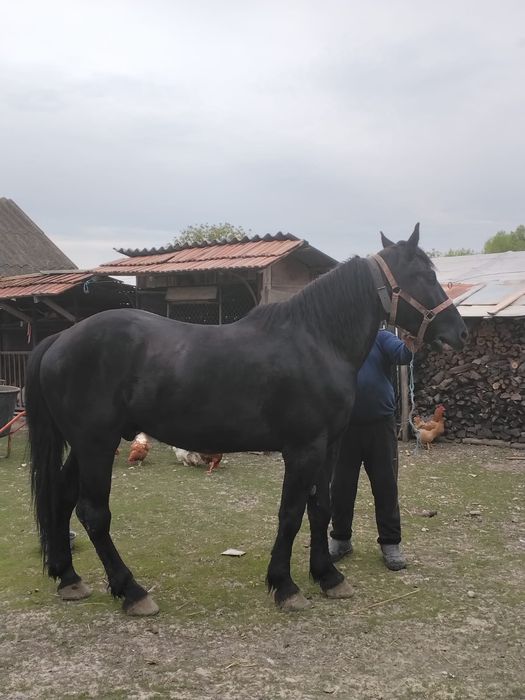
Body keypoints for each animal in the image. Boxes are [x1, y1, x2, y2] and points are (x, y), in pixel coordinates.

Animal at [26, 224, 467, 615]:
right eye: (425, 275)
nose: (460, 332)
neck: (316, 341)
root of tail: (58, 340)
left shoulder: (328, 447)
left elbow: (320, 509)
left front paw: (328, 576)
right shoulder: (303, 449)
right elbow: (290, 514)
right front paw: (285, 586)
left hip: (86, 446)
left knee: (61, 498)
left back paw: (69, 578)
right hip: (96, 445)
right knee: (93, 513)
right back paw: (131, 591)